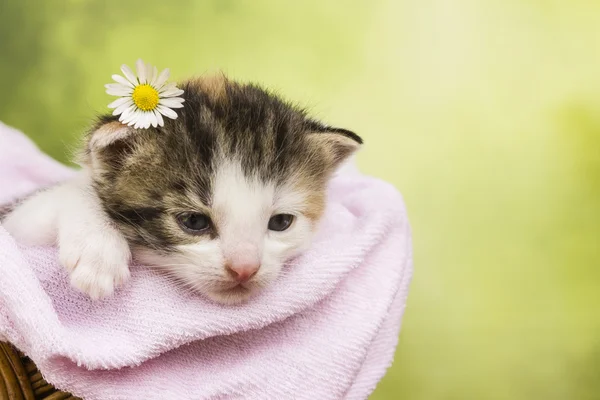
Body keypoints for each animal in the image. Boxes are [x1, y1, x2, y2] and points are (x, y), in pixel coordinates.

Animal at [1, 75, 360, 304]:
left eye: (281, 222)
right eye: (194, 222)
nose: (244, 269)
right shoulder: (16, 225)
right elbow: (70, 193)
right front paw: (98, 253)